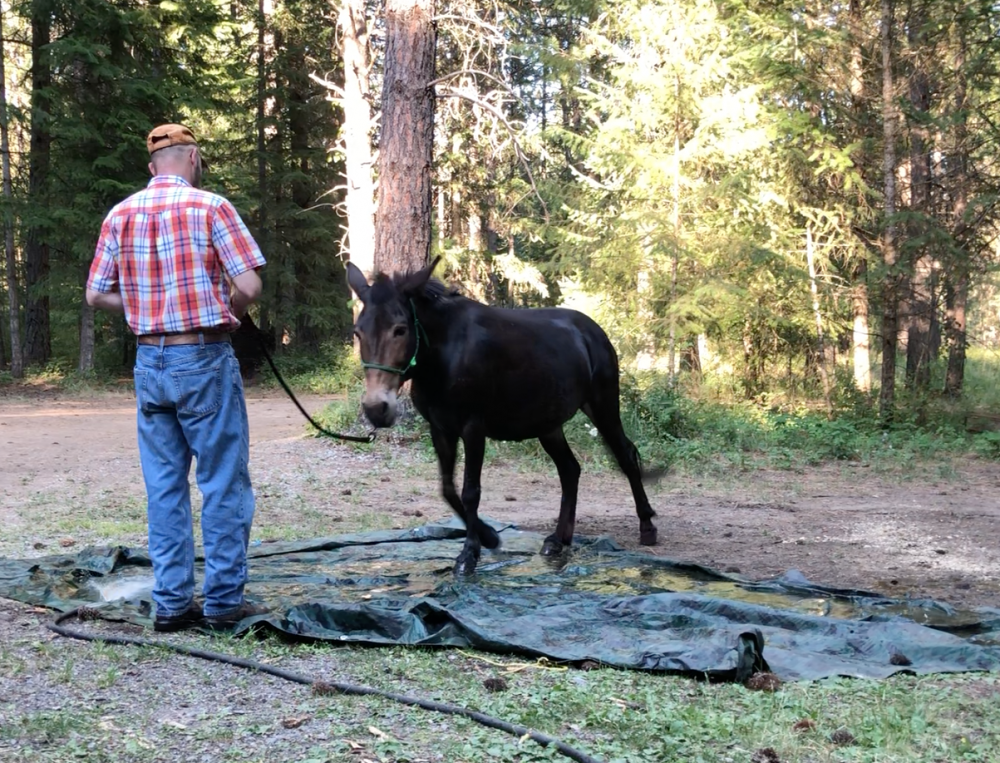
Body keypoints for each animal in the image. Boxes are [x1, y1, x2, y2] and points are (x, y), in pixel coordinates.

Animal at [346, 257, 659, 575]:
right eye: (358, 332)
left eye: (400, 330)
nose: (376, 409)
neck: (443, 356)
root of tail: (593, 330)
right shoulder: (441, 429)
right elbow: (448, 489)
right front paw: (489, 537)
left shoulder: (473, 427)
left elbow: (471, 491)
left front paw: (469, 553)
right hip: (548, 424)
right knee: (570, 470)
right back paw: (559, 539)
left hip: (602, 406)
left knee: (625, 455)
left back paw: (647, 526)